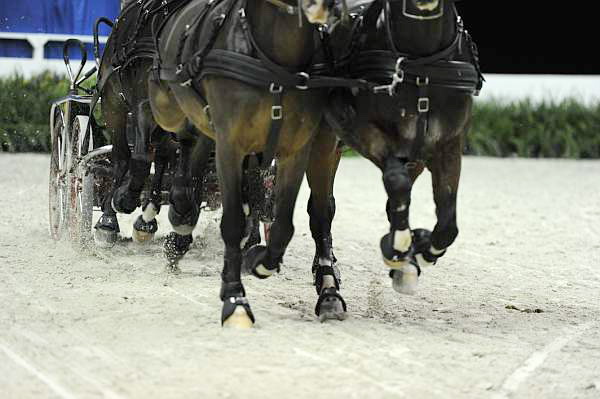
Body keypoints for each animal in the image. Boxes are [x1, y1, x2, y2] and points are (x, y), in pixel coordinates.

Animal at [149, 0, 342, 328]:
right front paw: (234, 299)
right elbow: (232, 222)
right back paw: (180, 205)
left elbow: (283, 226)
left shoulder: (296, 149)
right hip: (167, 106)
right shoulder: (230, 145)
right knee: (181, 135)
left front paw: (260, 261)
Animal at [322, 0, 486, 294]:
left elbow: (447, 224)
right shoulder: (356, 126)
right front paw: (399, 248)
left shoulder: (446, 146)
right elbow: (396, 182)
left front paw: (419, 252)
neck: (421, 65)